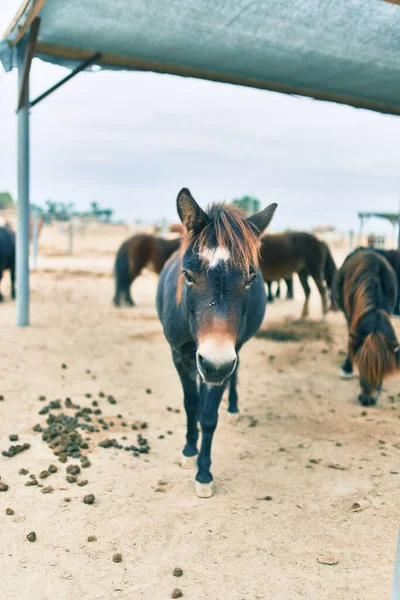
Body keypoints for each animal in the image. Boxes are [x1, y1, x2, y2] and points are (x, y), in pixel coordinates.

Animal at [157, 188, 278, 496]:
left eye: (249, 279)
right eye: (188, 275)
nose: (214, 365)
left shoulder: (225, 358)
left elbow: (209, 416)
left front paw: (204, 474)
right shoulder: (180, 356)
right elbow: (191, 404)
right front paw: (189, 450)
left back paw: (233, 407)